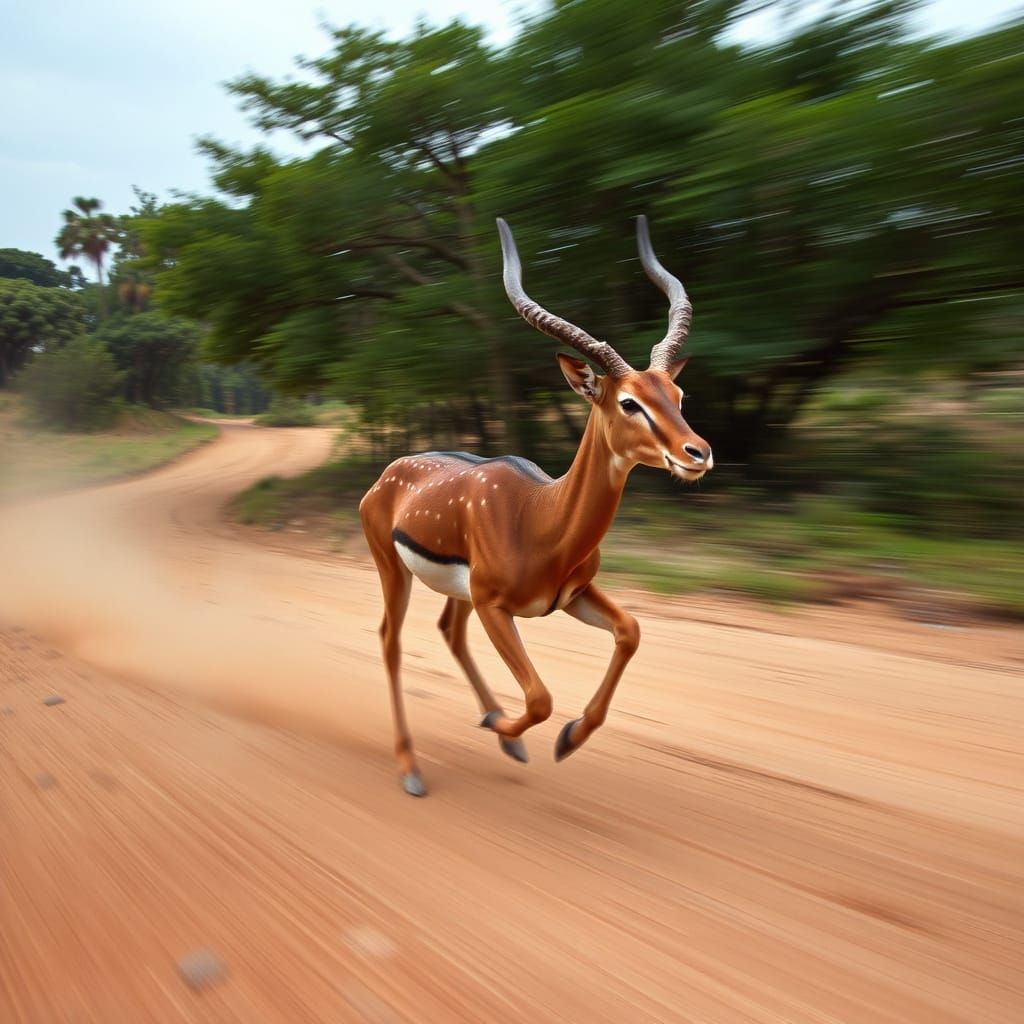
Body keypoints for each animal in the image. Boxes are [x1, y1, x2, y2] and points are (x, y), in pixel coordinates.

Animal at [359, 216, 712, 796]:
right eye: (628, 402)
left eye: (677, 395)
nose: (698, 453)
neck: (541, 517)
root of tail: (386, 476)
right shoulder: (496, 605)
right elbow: (541, 697)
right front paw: (517, 728)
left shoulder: (571, 596)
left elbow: (631, 631)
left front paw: (565, 738)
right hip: (395, 571)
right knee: (391, 640)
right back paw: (412, 768)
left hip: (459, 593)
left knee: (449, 631)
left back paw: (503, 734)